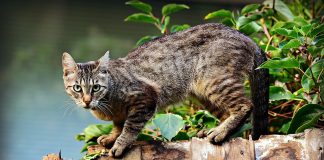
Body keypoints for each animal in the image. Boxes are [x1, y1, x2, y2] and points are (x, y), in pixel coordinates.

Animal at [62, 23, 268, 157]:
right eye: (77, 88)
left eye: (96, 87)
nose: (87, 100)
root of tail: (246, 37)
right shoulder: (120, 114)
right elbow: (118, 125)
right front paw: (112, 137)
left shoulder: (145, 99)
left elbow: (129, 127)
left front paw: (120, 143)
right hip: (202, 93)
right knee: (227, 112)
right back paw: (214, 130)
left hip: (214, 81)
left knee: (245, 105)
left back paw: (219, 132)